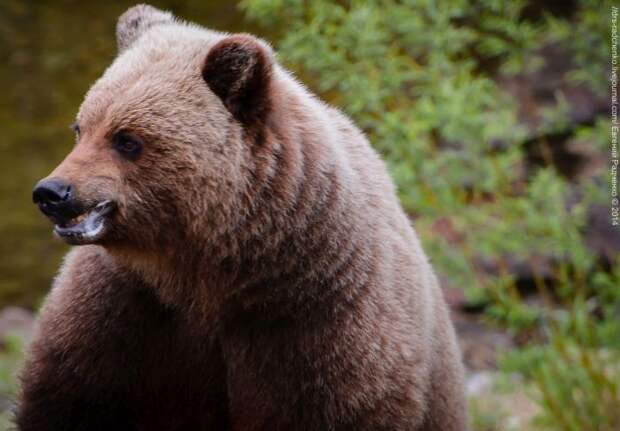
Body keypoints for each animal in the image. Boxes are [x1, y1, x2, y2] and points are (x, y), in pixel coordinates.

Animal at [18, 4, 464, 431]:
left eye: (127, 140)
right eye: (81, 128)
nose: (51, 193)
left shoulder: (318, 322)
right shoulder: (123, 314)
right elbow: (69, 395)